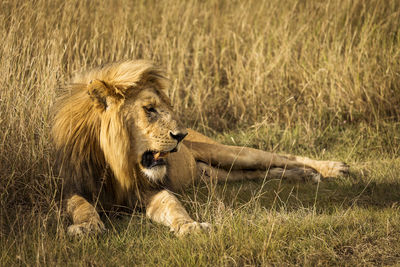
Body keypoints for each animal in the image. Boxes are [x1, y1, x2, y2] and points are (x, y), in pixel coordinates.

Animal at [51, 60, 348, 237]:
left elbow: (173, 207)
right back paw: (304, 176)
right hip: (217, 174)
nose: (181, 135)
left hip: (232, 153)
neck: (118, 163)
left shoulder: (150, 189)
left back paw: (331, 168)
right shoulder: (73, 186)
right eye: (149, 109)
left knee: (281, 157)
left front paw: (191, 226)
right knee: (258, 173)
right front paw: (87, 227)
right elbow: (80, 205)